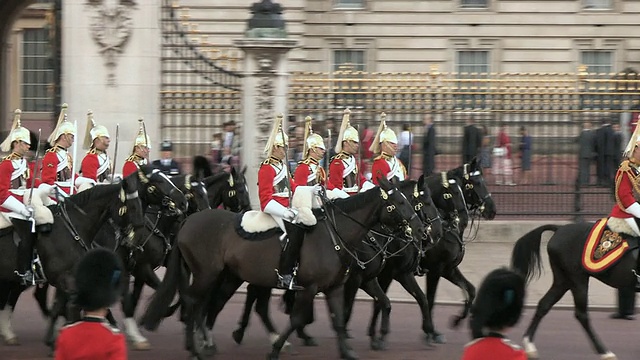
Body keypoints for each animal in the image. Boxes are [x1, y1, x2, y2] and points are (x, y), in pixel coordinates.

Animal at [142, 179, 428, 360]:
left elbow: (338, 319)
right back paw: (196, 348)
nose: (423, 230)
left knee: (207, 303)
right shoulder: (309, 287)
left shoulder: (335, 287)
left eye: (409, 201)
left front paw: (347, 351)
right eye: (400, 203)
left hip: (222, 275)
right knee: (194, 302)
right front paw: (276, 348)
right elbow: (298, 318)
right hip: (207, 274)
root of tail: (189, 221)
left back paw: (205, 342)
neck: (335, 235)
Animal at [510, 222, 636, 360]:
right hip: (577, 279)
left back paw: (529, 346)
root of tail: (560, 228)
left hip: (563, 281)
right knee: (581, 314)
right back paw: (605, 352)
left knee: (544, 304)